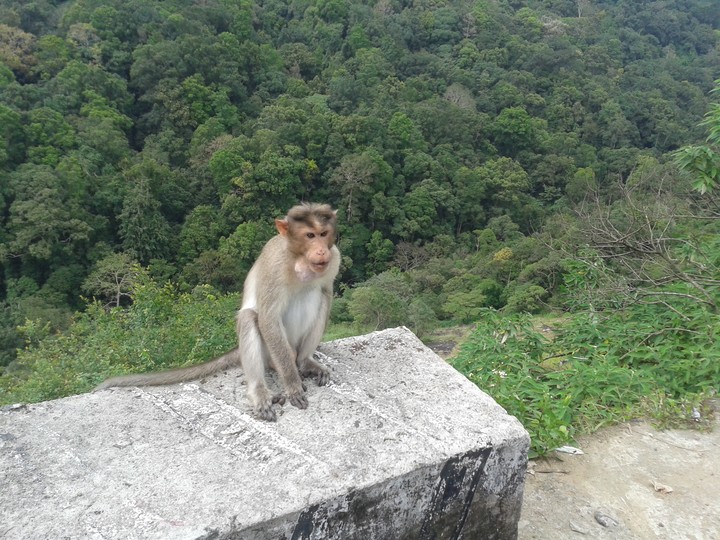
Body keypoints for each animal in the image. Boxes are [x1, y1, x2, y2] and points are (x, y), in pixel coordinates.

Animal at [95, 203, 341, 422]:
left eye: (323, 233)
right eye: (309, 235)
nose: (321, 250)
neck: (299, 260)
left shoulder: (334, 258)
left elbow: (327, 291)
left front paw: (303, 368)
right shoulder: (275, 265)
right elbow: (268, 318)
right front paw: (292, 385)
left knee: (321, 295)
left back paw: (305, 361)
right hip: (270, 354)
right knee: (250, 319)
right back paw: (259, 391)